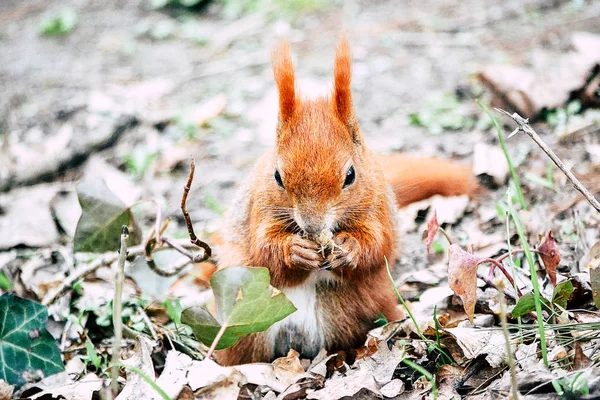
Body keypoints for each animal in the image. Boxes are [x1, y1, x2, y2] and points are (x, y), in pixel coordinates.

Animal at [216, 37, 478, 366]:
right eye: (277, 176)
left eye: (350, 175)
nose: (313, 226)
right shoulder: (259, 208)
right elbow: (263, 250)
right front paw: (295, 250)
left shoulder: (377, 207)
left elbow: (379, 245)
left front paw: (350, 248)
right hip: (245, 331)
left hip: (356, 311)